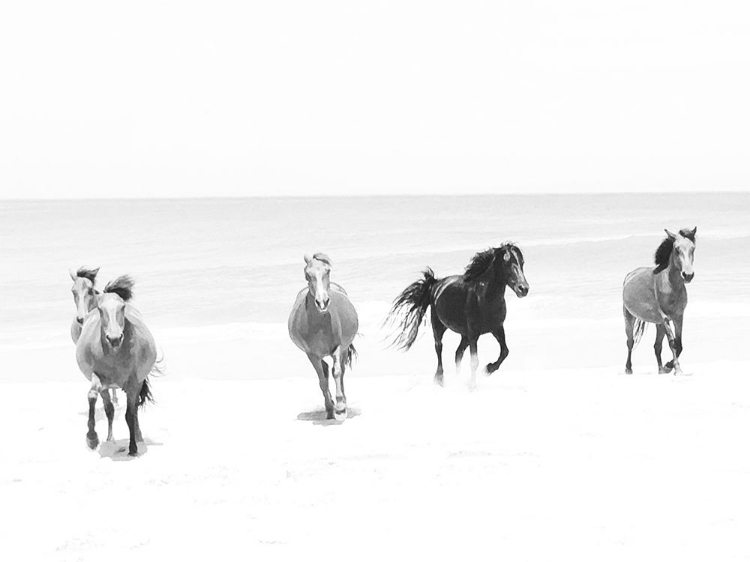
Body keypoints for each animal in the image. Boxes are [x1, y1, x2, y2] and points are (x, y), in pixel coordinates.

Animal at [76, 275, 157, 456]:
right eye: (100, 309)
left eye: (122, 307)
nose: (114, 338)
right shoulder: (99, 378)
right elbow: (92, 396)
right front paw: (92, 438)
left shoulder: (133, 382)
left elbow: (130, 414)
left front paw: (133, 447)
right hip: (107, 387)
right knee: (109, 409)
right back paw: (108, 439)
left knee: (133, 410)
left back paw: (138, 438)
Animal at [288, 253, 358, 422]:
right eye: (307, 274)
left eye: (328, 271)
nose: (322, 302)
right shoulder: (312, 354)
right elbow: (322, 381)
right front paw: (331, 408)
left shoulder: (338, 348)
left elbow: (337, 372)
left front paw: (340, 408)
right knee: (325, 371)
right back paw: (329, 407)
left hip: (344, 349)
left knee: (340, 371)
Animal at [386, 243, 529, 388]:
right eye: (506, 262)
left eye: (522, 262)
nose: (523, 288)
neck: (484, 298)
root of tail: (435, 284)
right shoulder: (473, 335)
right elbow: (474, 361)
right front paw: (473, 385)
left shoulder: (497, 328)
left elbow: (505, 351)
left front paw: (488, 369)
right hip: (438, 326)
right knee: (439, 348)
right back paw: (440, 379)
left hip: (464, 335)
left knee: (458, 353)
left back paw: (457, 378)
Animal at [622, 227, 697, 375]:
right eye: (677, 249)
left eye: (693, 248)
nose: (688, 275)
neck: (670, 286)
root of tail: (629, 275)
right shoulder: (665, 317)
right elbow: (673, 343)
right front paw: (676, 369)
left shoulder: (678, 317)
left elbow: (679, 344)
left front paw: (669, 366)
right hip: (629, 317)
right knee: (630, 342)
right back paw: (628, 369)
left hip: (659, 324)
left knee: (657, 346)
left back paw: (661, 369)